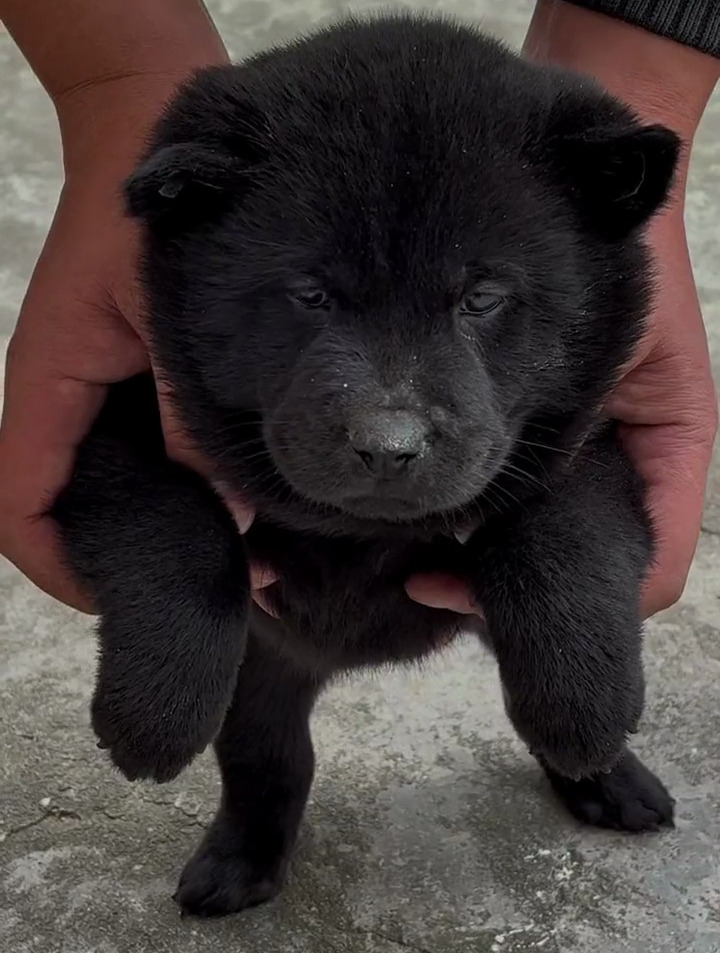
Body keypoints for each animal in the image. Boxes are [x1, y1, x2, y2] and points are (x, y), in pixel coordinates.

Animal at [53, 13, 676, 916]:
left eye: (481, 297)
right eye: (311, 294)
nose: (388, 444)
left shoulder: (596, 429)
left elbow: (563, 526)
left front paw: (585, 705)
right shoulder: (110, 417)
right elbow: (178, 523)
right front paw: (154, 710)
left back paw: (609, 777)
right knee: (267, 755)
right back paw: (240, 858)